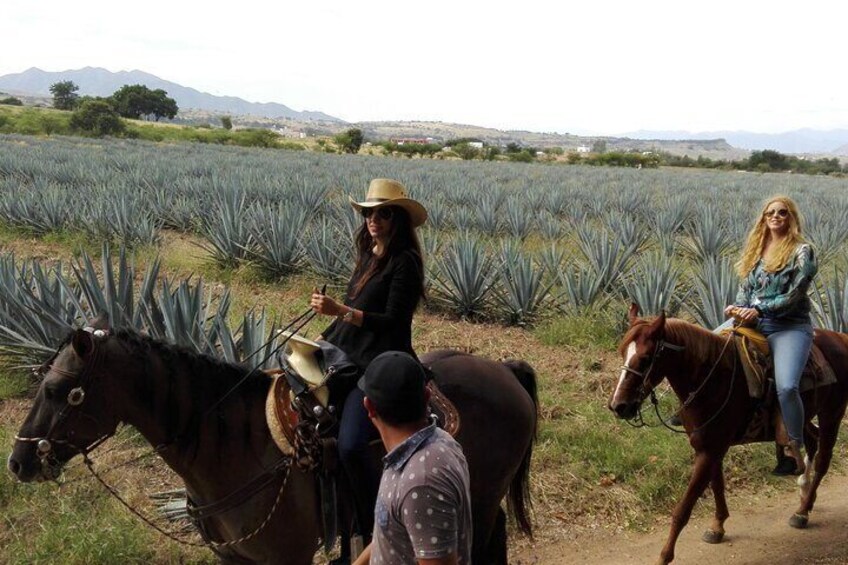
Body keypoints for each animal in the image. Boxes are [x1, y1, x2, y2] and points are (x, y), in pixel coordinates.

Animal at [608, 304, 848, 564]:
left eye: (645, 359)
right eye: (622, 352)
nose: (618, 406)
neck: (712, 379)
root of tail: (840, 338)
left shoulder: (710, 450)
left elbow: (684, 508)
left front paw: (664, 556)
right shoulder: (708, 448)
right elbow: (717, 485)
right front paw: (717, 527)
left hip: (831, 413)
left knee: (823, 459)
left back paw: (802, 512)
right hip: (801, 416)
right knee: (811, 441)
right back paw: (805, 497)